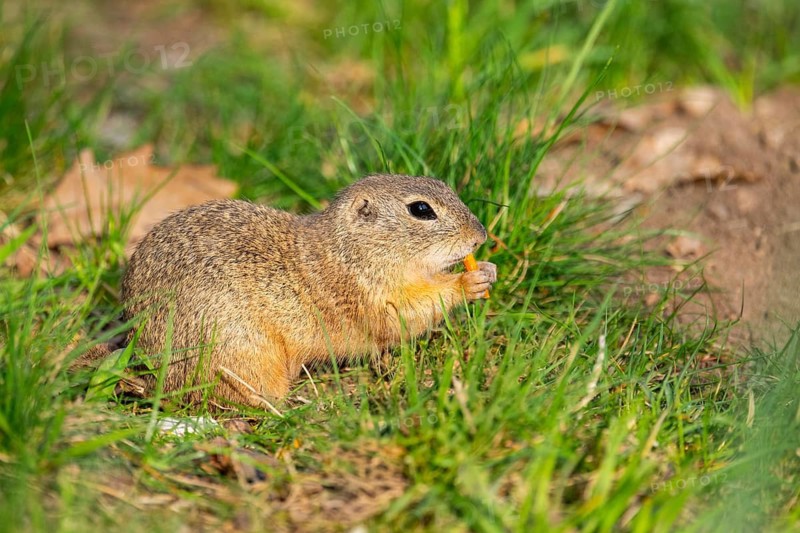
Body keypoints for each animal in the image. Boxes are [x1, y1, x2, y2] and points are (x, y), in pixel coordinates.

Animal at [119, 174, 496, 408]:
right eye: (421, 209)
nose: (480, 236)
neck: (349, 250)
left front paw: (487, 269)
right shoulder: (368, 293)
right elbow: (405, 314)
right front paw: (468, 282)